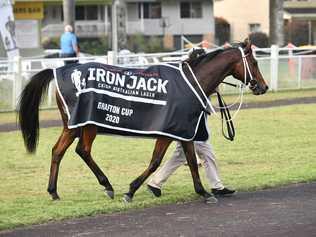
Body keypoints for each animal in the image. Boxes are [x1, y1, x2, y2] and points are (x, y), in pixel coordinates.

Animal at [18, 39, 268, 203]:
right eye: (255, 63)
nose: (263, 87)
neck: (191, 81)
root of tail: (58, 71)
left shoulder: (181, 131)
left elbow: (186, 158)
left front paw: (203, 191)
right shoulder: (172, 131)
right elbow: (158, 161)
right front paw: (131, 191)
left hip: (74, 125)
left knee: (60, 151)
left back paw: (54, 191)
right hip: (86, 125)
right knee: (81, 150)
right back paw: (106, 186)